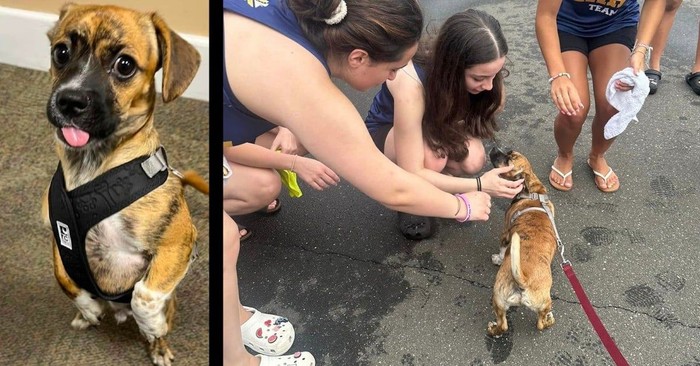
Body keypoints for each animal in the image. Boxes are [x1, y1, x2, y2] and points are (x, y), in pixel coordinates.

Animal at [41, 3, 206, 366]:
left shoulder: (178, 243)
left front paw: (151, 324)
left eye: (125, 65)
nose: (69, 101)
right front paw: (87, 308)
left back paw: (157, 346)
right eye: (61, 52)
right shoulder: (58, 235)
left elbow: (144, 295)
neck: (92, 166)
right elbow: (63, 276)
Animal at [486, 147, 556, 336]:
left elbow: (502, 249)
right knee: (540, 323)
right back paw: (549, 320)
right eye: (509, 151)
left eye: (508, 160)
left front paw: (498, 258)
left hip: (498, 297)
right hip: (542, 303)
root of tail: (524, 281)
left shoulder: (505, 233)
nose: (494, 147)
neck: (531, 190)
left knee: (503, 325)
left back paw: (493, 329)